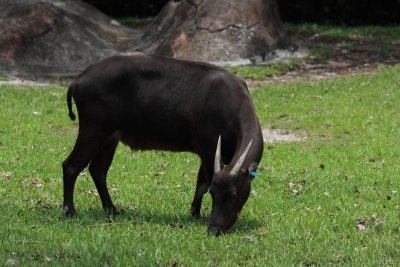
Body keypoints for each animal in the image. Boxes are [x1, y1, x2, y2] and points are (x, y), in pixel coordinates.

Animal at [61, 55, 262, 236]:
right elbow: (203, 182)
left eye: (234, 194)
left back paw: (112, 209)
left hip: (110, 137)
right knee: (71, 166)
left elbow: (201, 182)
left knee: (98, 170)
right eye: (214, 194)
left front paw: (194, 212)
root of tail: (78, 79)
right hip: (94, 130)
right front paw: (196, 213)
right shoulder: (208, 150)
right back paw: (70, 211)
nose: (215, 229)